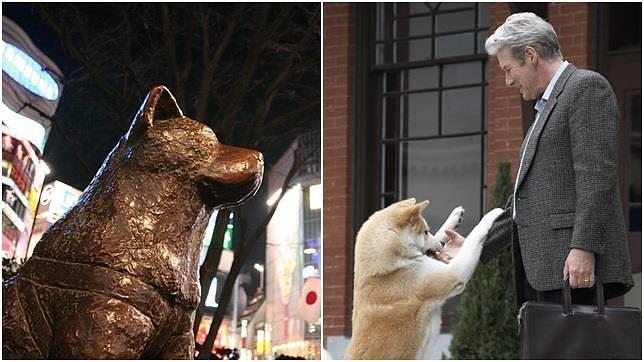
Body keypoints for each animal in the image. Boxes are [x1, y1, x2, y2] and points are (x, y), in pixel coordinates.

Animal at [348, 199, 504, 360]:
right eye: (425, 232)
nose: (441, 245)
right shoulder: (452, 273)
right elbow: (475, 234)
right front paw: (491, 215)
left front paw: (455, 217)